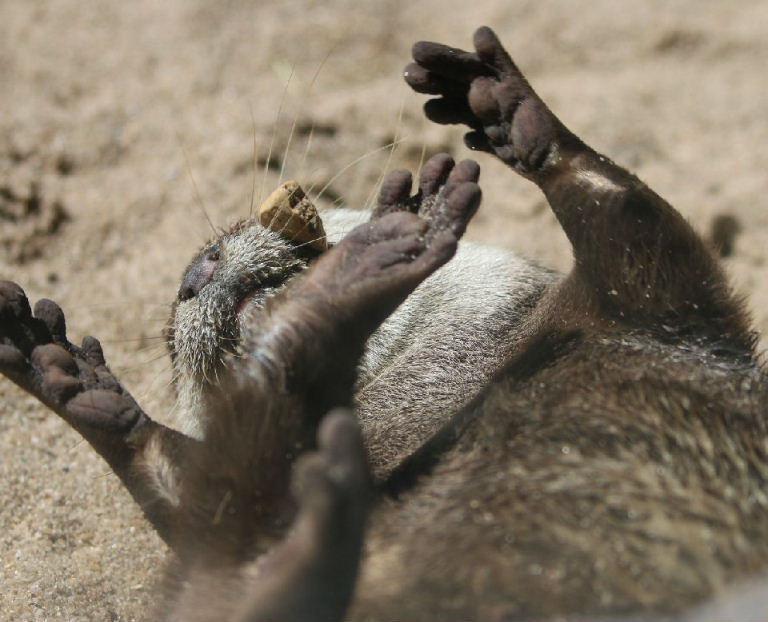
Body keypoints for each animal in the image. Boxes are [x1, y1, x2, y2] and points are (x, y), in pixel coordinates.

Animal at [2, 26, 768, 621]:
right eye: (169, 345)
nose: (195, 273)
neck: (451, 393)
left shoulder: (652, 312)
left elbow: (629, 217)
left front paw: (511, 109)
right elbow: (188, 487)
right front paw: (83, 384)